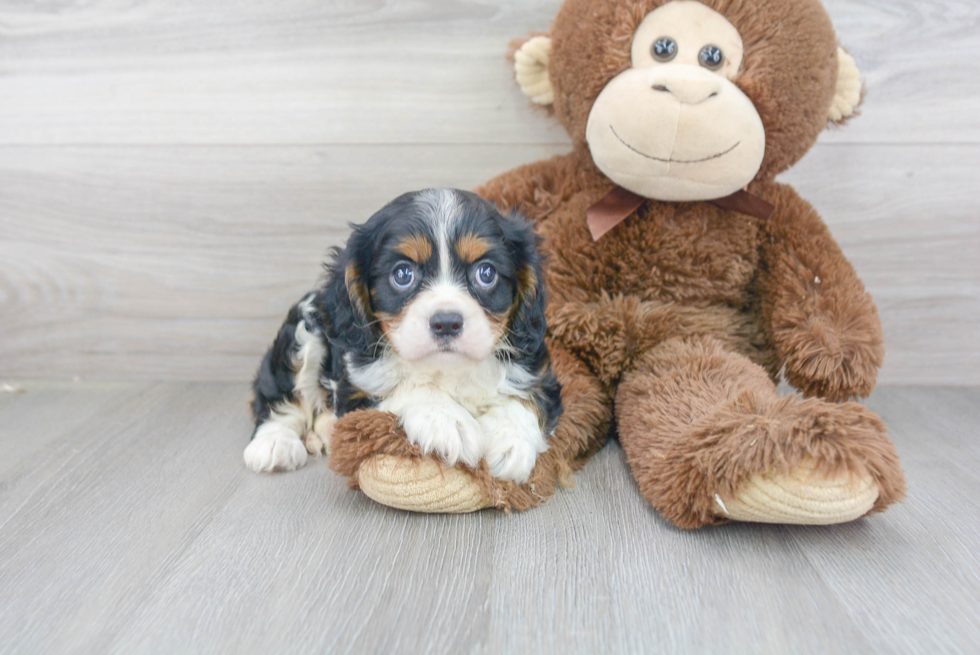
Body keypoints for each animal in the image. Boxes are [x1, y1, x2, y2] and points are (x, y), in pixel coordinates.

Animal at [245, 187, 564, 484]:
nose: (446, 323)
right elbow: (405, 386)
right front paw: (447, 420)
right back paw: (275, 443)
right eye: (402, 275)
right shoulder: (359, 386)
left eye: (486, 273)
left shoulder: (538, 371)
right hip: (304, 328)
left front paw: (509, 442)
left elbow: (526, 398)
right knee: (279, 397)